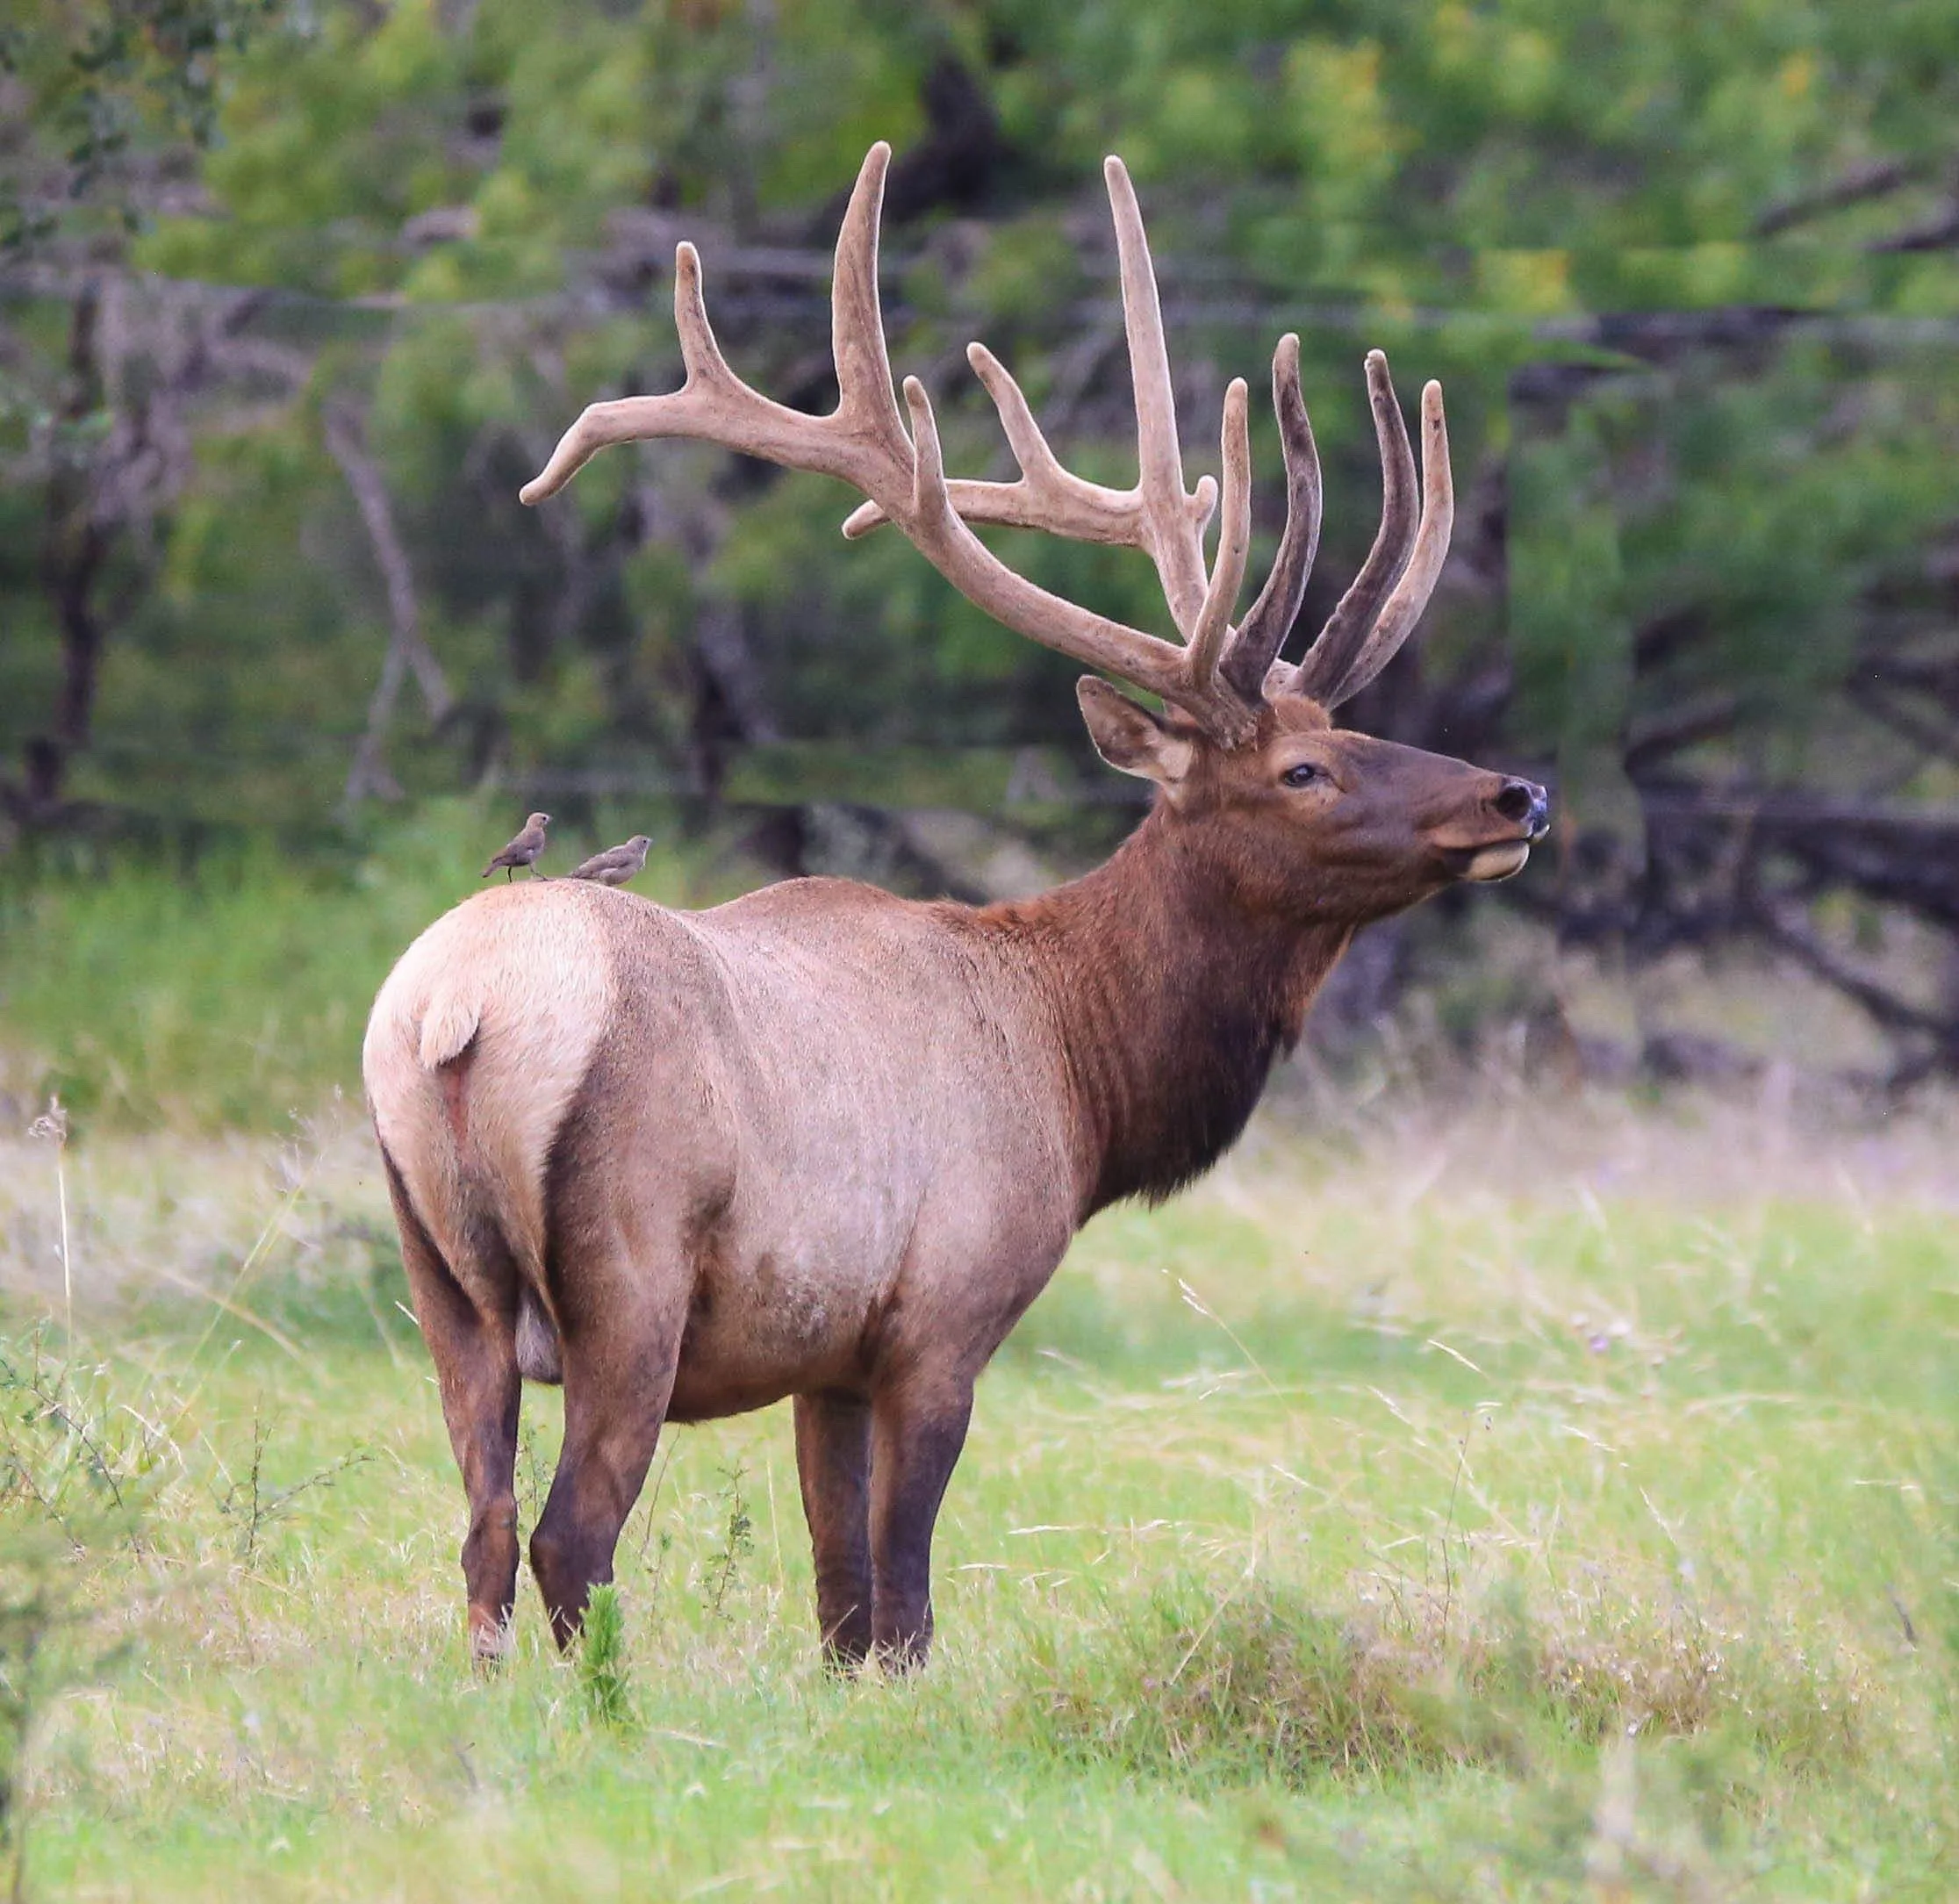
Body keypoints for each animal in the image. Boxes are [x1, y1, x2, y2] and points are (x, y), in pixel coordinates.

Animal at [362, 142, 1549, 1673]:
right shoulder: (943, 1313)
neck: (1080, 1069)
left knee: (483, 1534)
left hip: (437, 1274)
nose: (1516, 795)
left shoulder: (827, 1353)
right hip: (633, 1275)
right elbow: (904, 1602)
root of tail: (455, 1010)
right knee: (574, 1535)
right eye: (1303, 767)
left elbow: (834, 1593)